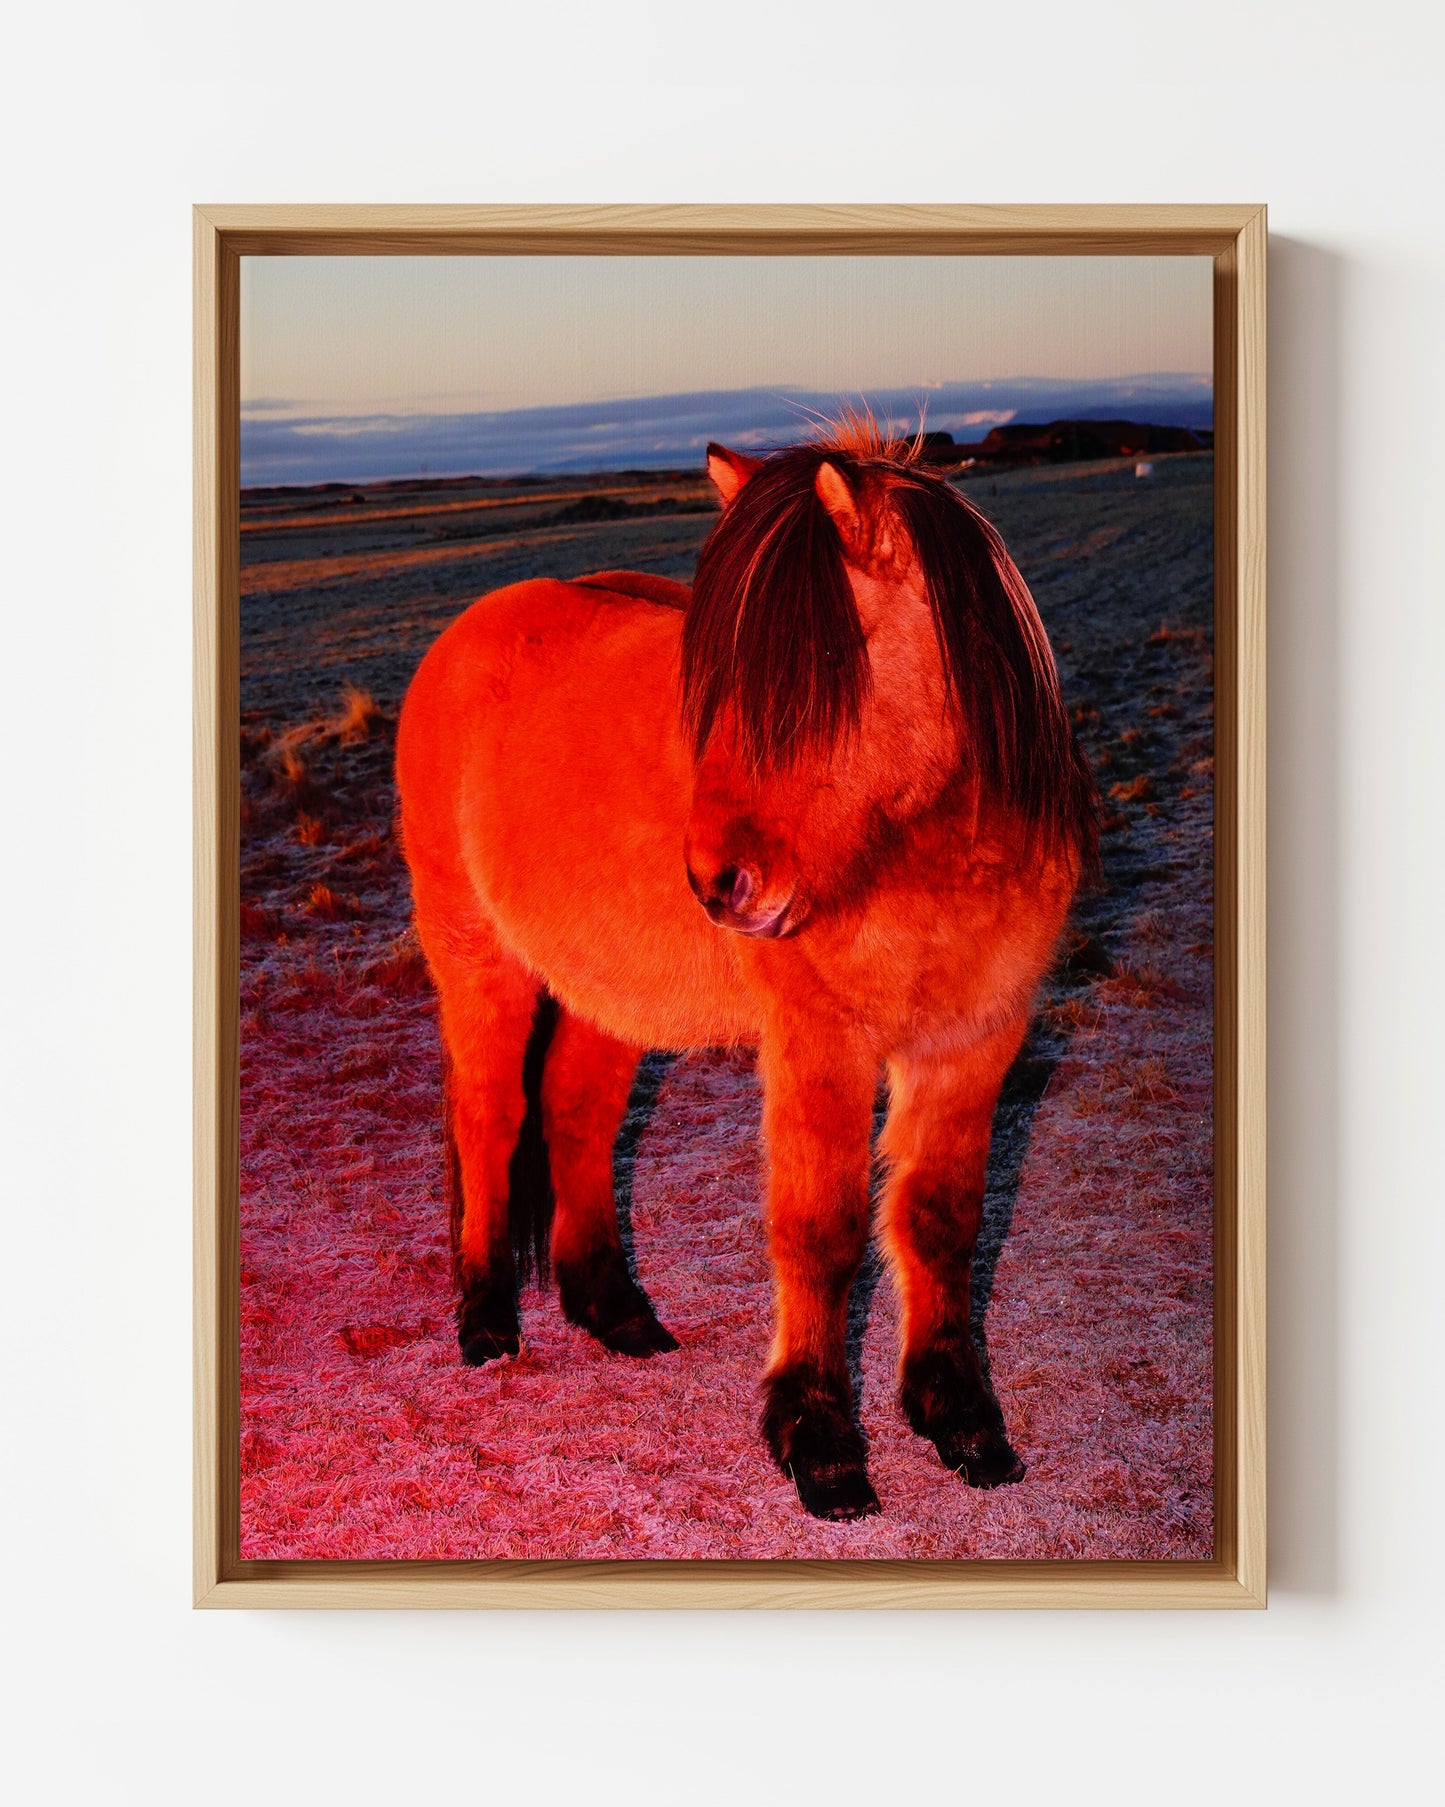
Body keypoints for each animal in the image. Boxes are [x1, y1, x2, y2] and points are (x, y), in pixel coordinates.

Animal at [395, 420, 1097, 1521]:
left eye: (820, 659)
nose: (719, 885)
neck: (918, 854)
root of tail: (475, 627)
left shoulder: (977, 1037)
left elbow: (939, 1221)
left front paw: (961, 1421)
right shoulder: (820, 1046)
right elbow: (820, 1232)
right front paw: (819, 1444)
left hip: (608, 992)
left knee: (576, 1114)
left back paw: (615, 1310)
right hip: (477, 957)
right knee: (489, 1118)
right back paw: (485, 1322)